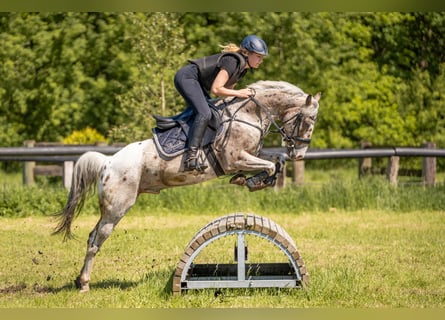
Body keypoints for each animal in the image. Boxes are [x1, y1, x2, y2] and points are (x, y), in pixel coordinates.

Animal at [53, 80, 320, 292]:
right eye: (308, 120)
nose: (299, 154)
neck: (250, 114)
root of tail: (107, 162)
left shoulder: (252, 154)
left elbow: (276, 161)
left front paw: (252, 179)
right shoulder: (235, 158)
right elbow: (271, 165)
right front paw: (251, 181)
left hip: (111, 209)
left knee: (92, 236)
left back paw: (80, 281)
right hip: (117, 208)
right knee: (95, 241)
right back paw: (84, 283)